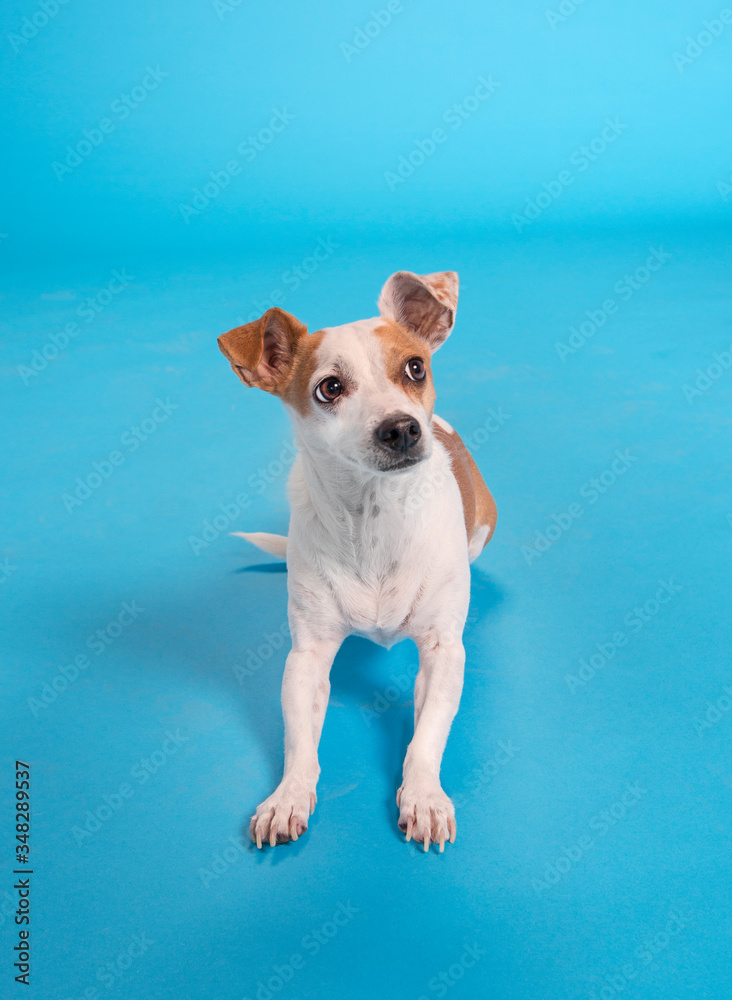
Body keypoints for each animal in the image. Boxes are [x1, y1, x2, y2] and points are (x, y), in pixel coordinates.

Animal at [217, 268, 498, 852]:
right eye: (330, 388)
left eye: (415, 367)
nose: (403, 427)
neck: (374, 518)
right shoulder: (306, 660)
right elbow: (299, 742)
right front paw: (287, 798)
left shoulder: (443, 653)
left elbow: (426, 735)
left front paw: (424, 797)